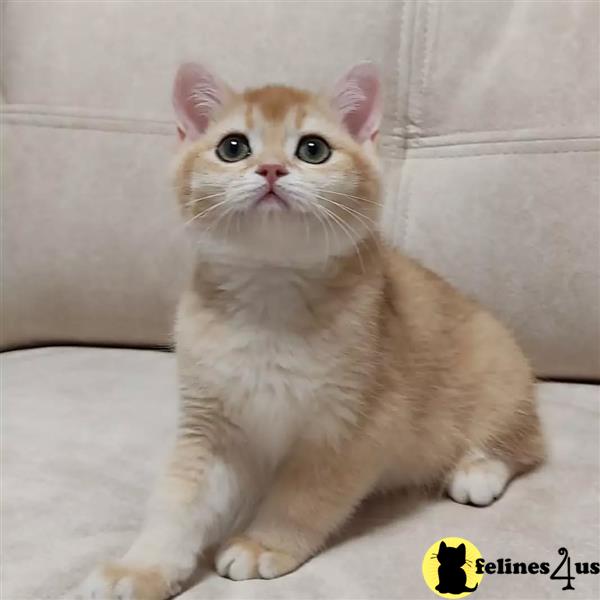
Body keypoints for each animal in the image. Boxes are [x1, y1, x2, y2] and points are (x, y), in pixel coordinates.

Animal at [78, 62, 544, 600]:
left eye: (313, 149)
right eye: (232, 147)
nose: (271, 169)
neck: (270, 297)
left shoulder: (352, 428)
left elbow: (302, 496)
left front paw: (260, 544)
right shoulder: (208, 426)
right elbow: (179, 502)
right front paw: (140, 568)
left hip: (497, 371)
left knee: (525, 444)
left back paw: (478, 469)